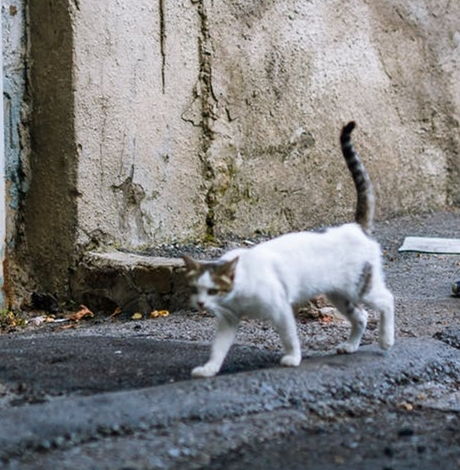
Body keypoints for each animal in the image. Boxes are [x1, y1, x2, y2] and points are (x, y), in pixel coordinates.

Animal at [181, 122, 394, 378]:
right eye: (195, 289)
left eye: (212, 290)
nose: (201, 304)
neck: (239, 290)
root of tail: (355, 227)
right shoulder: (227, 320)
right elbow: (218, 348)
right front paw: (210, 369)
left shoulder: (280, 307)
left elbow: (289, 336)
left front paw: (292, 358)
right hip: (340, 294)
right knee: (361, 316)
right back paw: (351, 345)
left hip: (361, 288)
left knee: (387, 300)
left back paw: (386, 339)